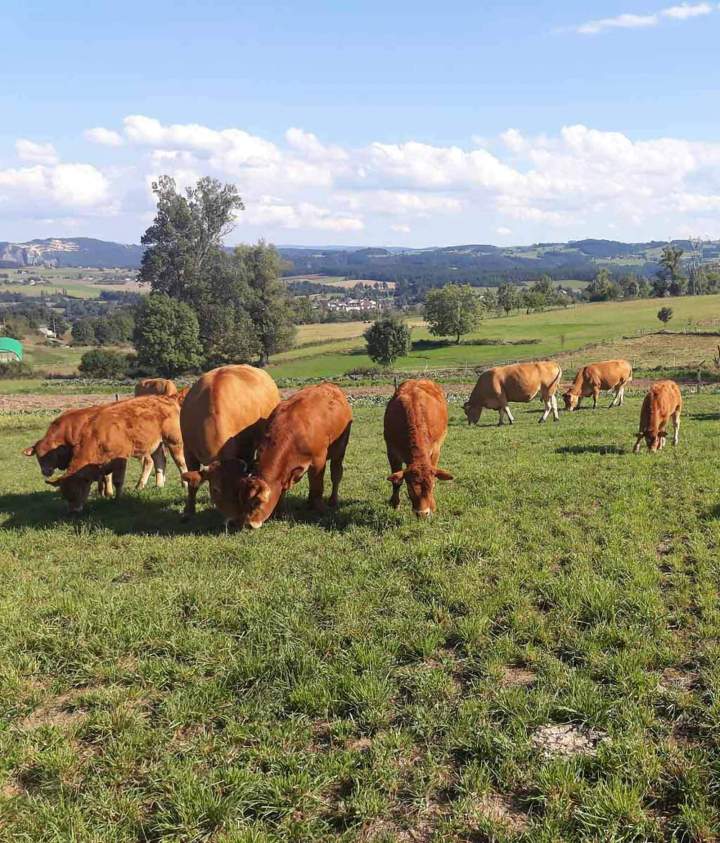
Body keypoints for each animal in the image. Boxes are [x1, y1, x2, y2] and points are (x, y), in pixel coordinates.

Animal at [46, 396, 187, 513]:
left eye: (77, 491)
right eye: (64, 495)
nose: (73, 511)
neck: (98, 435)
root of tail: (167, 399)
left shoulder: (121, 459)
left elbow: (118, 481)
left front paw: (118, 499)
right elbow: (105, 477)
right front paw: (106, 494)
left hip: (174, 441)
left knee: (180, 462)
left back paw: (184, 484)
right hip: (156, 445)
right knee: (159, 461)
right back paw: (158, 485)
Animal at [179, 365, 281, 521]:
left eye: (240, 489)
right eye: (216, 489)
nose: (233, 522)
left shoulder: (247, 451)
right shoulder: (188, 451)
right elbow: (192, 484)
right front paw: (189, 511)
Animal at [183, 383, 352, 529]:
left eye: (257, 502)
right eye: (242, 499)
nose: (248, 524)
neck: (292, 431)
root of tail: (329, 385)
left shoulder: (318, 461)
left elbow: (317, 487)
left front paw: (318, 508)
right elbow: (282, 489)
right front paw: (280, 512)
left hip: (340, 450)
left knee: (336, 474)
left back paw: (333, 501)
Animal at [384, 379, 453, 517]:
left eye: (431, 487)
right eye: (410, 487)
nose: (422, 513)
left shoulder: (435, 450)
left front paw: (432, 506)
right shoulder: (392, 452)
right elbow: (396, 481)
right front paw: (395, 504)